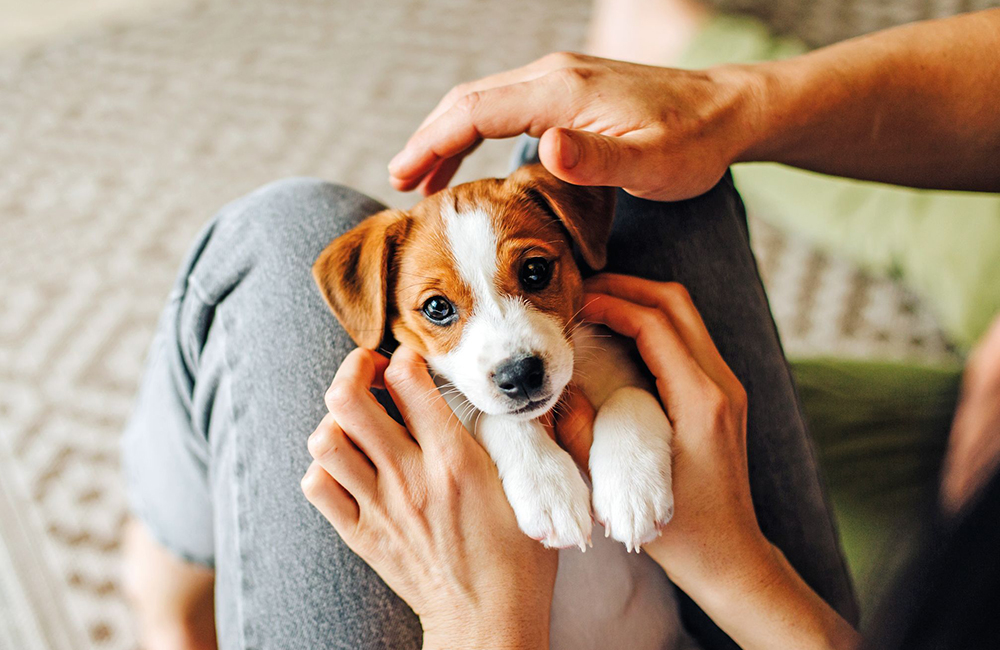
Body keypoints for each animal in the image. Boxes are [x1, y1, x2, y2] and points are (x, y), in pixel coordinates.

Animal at [312, 163, 672, 552]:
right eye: (437, 307)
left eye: (535, 270)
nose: (520, 375)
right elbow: (496, 419)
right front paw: (548, 489)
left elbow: (630, 394)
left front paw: (632, 486)